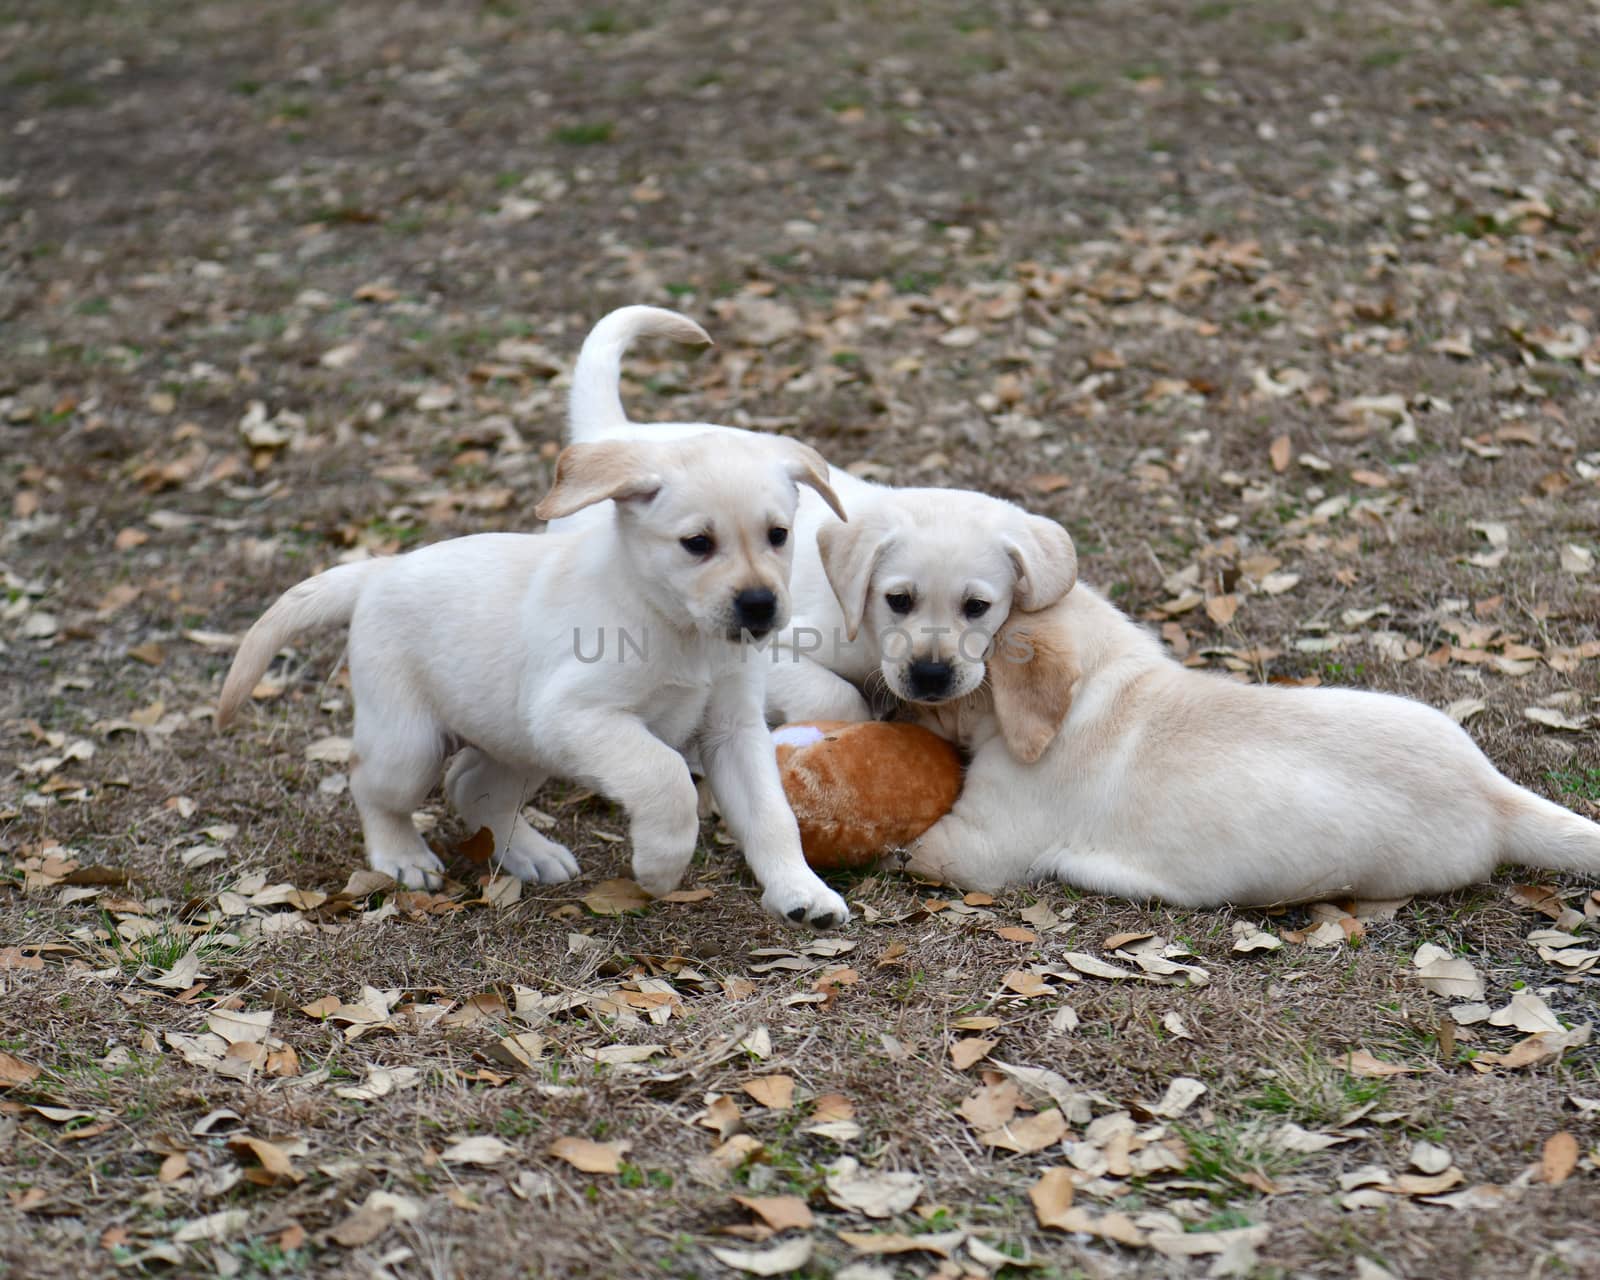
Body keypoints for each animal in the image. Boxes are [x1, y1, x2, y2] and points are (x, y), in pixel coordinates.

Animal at [222, 416, 864, 928]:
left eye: (778, 535)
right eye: (697, 543)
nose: (760, 606)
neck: (675, 626)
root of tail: (379, 570)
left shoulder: (733, 730)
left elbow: (772, 816)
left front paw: (800, 890)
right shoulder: (576, 713)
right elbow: (667, 777)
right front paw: (661, 864)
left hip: (519, 742)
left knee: (472, 785)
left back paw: (530, 853)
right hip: (412, 742)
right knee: (371, 783)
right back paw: (401, 856)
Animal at [550, 300, 1075, 720]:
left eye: (977, 607)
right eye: (898, 600)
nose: (930, 676)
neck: (866, 632)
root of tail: (611, 434)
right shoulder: (777, 649)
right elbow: (836, 698)